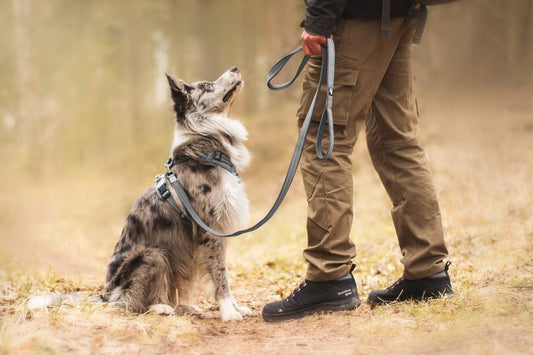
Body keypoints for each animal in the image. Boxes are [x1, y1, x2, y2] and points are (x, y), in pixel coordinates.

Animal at [102, 67, 251, 322]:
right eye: (207, 86)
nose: (235, 68)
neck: (208, 147)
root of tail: (106, 295)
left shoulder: (219, 231)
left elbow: (226, 273)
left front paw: (235, 306)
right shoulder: (209, 230)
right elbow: (220, 274)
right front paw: (229, 311)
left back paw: (186, 307)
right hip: (153, 255)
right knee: (128, 303)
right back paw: (160, 307)